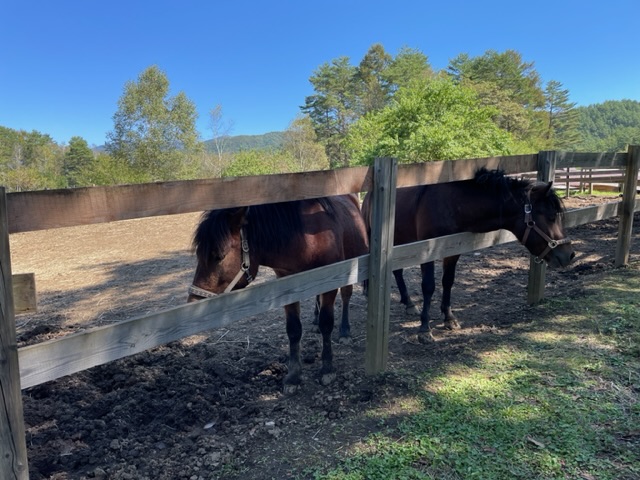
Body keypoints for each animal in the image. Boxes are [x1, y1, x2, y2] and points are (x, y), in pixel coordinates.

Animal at [188, 195, 368, 394]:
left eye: (218, 256)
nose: (193, 302)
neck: (306, 241)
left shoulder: (331, 281)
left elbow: (327, 324)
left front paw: (327, 369)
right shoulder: (287, 285)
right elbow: (294, 330)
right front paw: (294, 376)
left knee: (346, 296)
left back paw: (344, 331)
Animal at [362, 168, 576, 342]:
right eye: (551, 217)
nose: (569, 255)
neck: (450, 203)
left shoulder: (452, 250)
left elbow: (448, 281)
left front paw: (449, 318)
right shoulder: (426, 252)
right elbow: (428, 287)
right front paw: (424, 329)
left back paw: (408, 303)